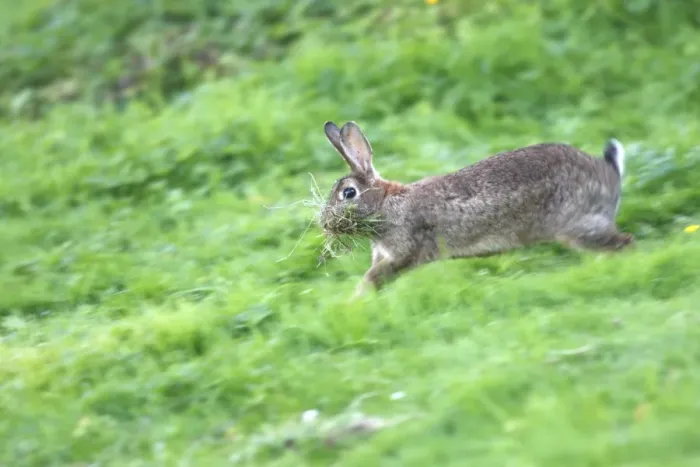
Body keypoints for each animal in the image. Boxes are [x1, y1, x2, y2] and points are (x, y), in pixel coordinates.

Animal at [320, 120, 634, 297]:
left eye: (348, 193)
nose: (323, 223)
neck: (385, 204)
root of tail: (609, 173)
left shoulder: (404, 250)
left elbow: (374, 276)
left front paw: (355, 300)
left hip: (577, 224)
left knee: (624, 243)